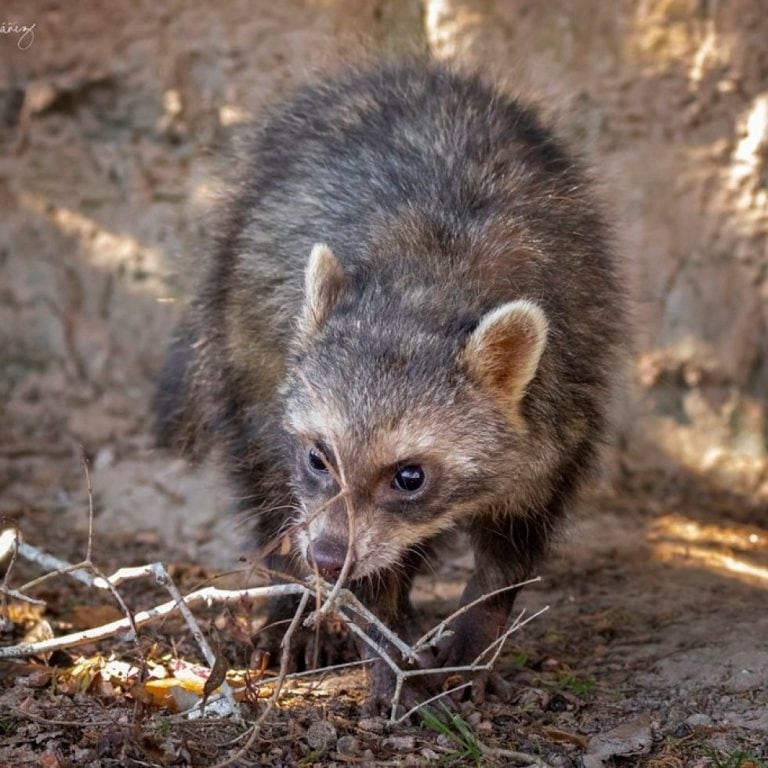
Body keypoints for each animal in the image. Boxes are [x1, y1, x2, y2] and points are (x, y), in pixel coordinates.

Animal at [159, 58, 628, 708]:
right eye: (319, 458)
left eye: (410, 476)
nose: (327, 560)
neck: (429, 290)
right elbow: (351, 552)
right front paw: (383, 644)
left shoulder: (569, 385)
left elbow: (515, 539)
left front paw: (478, 629)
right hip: (239, 330)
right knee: (264, 478)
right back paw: (292, 600)